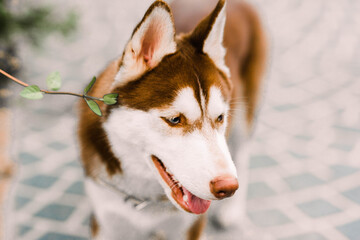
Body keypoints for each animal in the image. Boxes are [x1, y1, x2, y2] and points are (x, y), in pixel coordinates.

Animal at [78, 0, 264, 238]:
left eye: (220, 117)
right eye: (175, 119)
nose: (228, 187)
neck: (145, 200)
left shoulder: (189, 227)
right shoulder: (106, 223)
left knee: (242, 153)